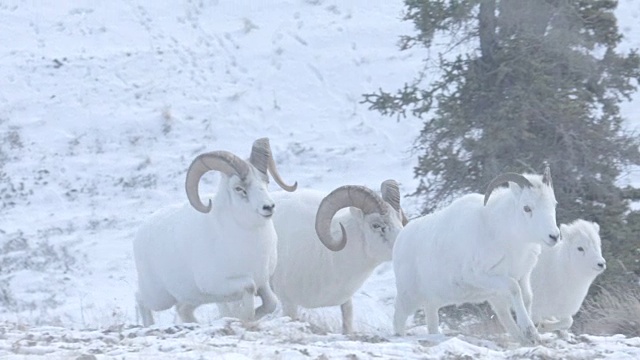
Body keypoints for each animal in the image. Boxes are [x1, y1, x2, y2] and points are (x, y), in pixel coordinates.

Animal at [134, 136, 298, 324]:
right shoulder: (222, 285)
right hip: (159, 297)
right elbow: (249, 288)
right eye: (239, 188)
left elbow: (271, 303)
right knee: (140, 299)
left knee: (182, 310)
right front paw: (243, 317)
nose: (268, 207)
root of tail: (141, 231)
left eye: (266, 182)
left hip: (192, 298)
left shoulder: (262, 283)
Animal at [392, 166, 564, 346]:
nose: (554, 236)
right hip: (409, 297)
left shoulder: (522, 276)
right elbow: (514, 289)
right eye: (527, 208)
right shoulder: (480, 276)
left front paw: (531, 335)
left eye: (553, 204)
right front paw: (530, 331)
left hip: (433, 302)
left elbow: (527, 298)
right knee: (398, 318)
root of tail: (401, 237)